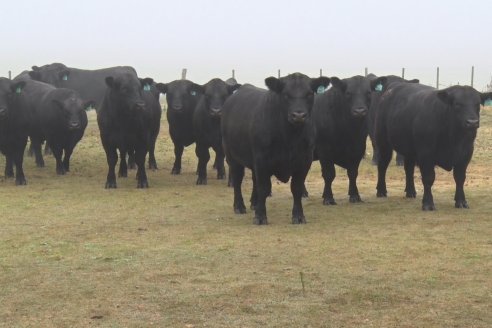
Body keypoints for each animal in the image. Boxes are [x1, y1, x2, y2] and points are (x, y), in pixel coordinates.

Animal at [222, 73, 330, 224]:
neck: (289, 138)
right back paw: (239, 206)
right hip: (232, 156)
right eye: (286, 94)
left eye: (309, 94)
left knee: (254, 179)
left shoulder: (304, 161)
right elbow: (264, 188)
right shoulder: (262, 160)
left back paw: (254, 203)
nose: (299, 115)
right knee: (237, 180)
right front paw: (260, 217)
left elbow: (297, 187)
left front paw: (298, 216)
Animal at [312, 76, 384, 205]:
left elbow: (353, 173)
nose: (359, 111)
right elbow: (329, 174)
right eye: (348, 93)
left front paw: (355, 195)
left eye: (368, 92)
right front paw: (328, 198)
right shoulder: (324, 151)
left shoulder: (358, 149)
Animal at [374, 82, 490, 210]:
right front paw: (428, 203)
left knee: (408, 168)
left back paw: (410, 191)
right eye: (457, 104)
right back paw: (381, 191)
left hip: (410, 150)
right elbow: (428, 178)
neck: (454, 138)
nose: (472, 122)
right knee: (382, 165)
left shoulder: (466, 154)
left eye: (477, 104)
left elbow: (460, 178)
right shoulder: (426, 154)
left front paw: (461, 201)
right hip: (383, 143)